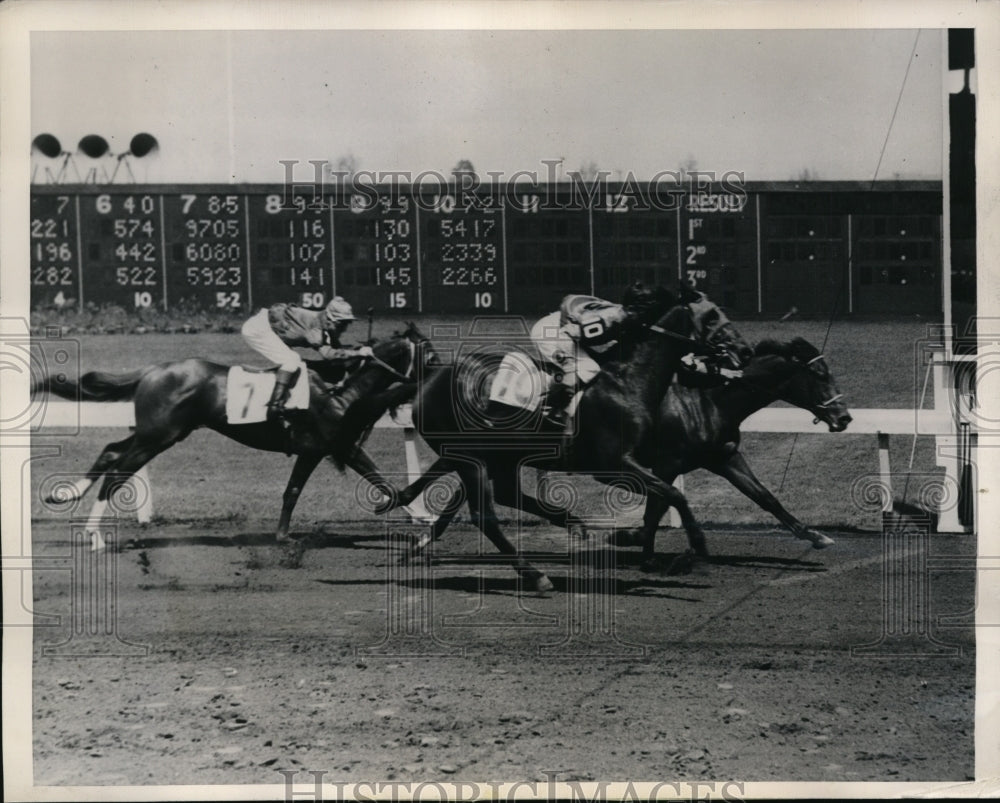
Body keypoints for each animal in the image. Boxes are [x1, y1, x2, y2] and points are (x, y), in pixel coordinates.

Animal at [34, 324, 434, 548]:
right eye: (430, 353)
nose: (439, 382)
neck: (341, 390)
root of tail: (152, 370)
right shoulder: (330, 447)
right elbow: (377, 481)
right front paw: (422, 518)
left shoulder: (329, 447)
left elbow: (301, 490)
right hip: (158, 437)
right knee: (118, 469)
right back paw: (94, 535)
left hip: (153, 434)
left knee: (111, 452)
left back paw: (68, 496)